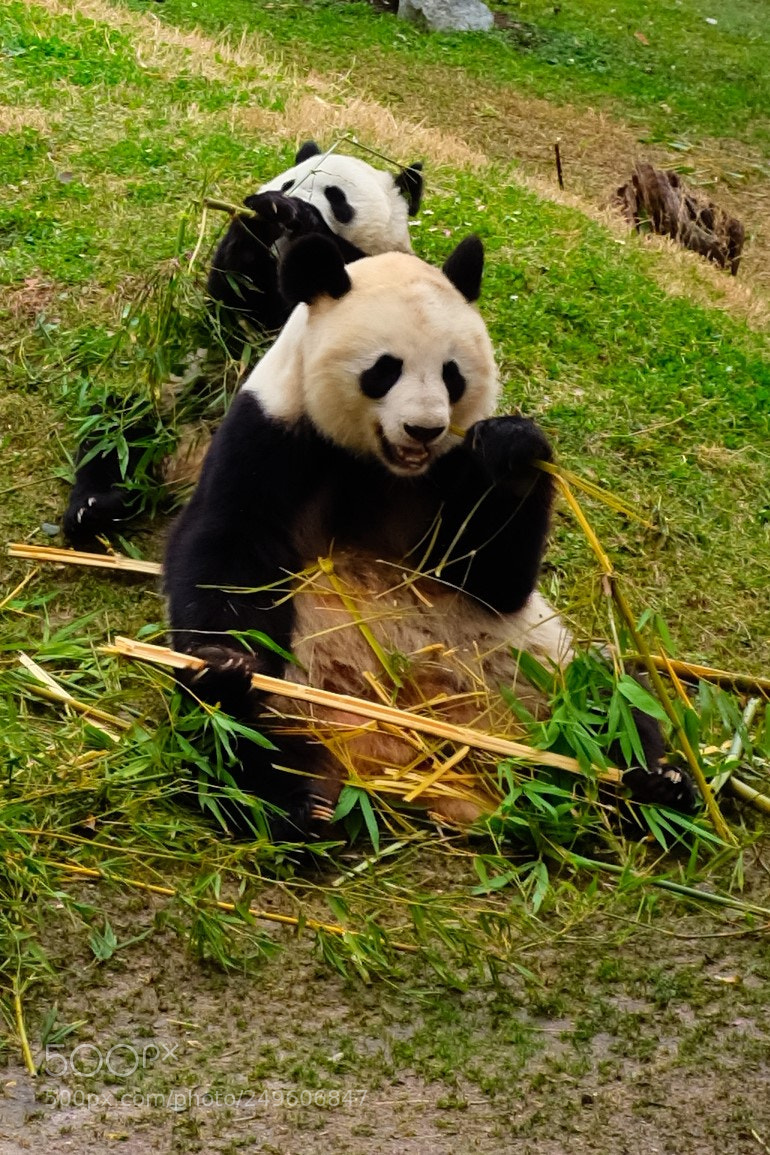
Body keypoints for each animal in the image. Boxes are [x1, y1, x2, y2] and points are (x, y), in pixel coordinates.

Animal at [62, 141, 423, 548]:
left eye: (337, 197)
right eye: (288, 181)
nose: (288, 201)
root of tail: (184, 462)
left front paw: (302, 218)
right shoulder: (240, 313)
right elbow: (233, 304)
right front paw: (263, 215)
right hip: (170, 403)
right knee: (114, 427)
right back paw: (95, 507)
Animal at [164, 232, 696, 841]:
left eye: (452, 374)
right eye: (384, 369)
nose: (424, 428)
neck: (380, 465)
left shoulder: (452, 469)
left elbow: (493, 580)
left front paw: (513, 449)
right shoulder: (272, 432)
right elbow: (229, 545)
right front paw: (225, 660)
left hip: (539, 674)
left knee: (612, 698)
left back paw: (657, 784)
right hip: (303, 702)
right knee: (246, 737)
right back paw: (294, 793)